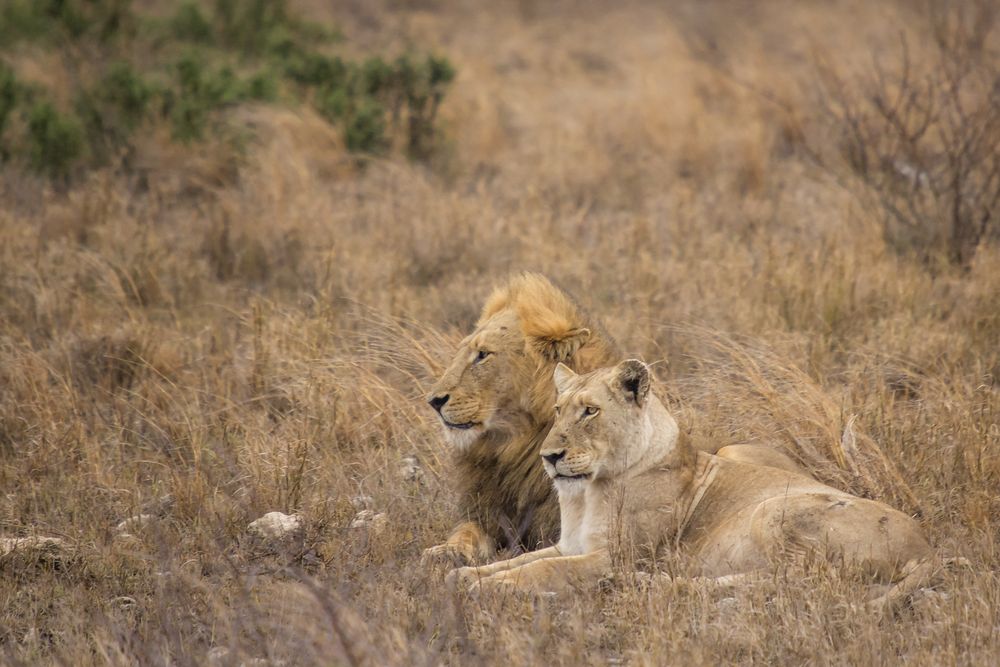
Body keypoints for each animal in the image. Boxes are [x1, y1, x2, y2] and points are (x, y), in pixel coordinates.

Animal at [450, 360, 932, 612]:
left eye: (590, 411)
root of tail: (927, 547)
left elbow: (543, 570)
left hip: (777, 510)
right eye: (558, 409)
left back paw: (650, 584)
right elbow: (522, 559)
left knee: (794, 582)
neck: (585, 495)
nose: (549, 456)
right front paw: (463, 574)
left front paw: (485, 588)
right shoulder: (571, 544)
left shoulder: (610, 556)